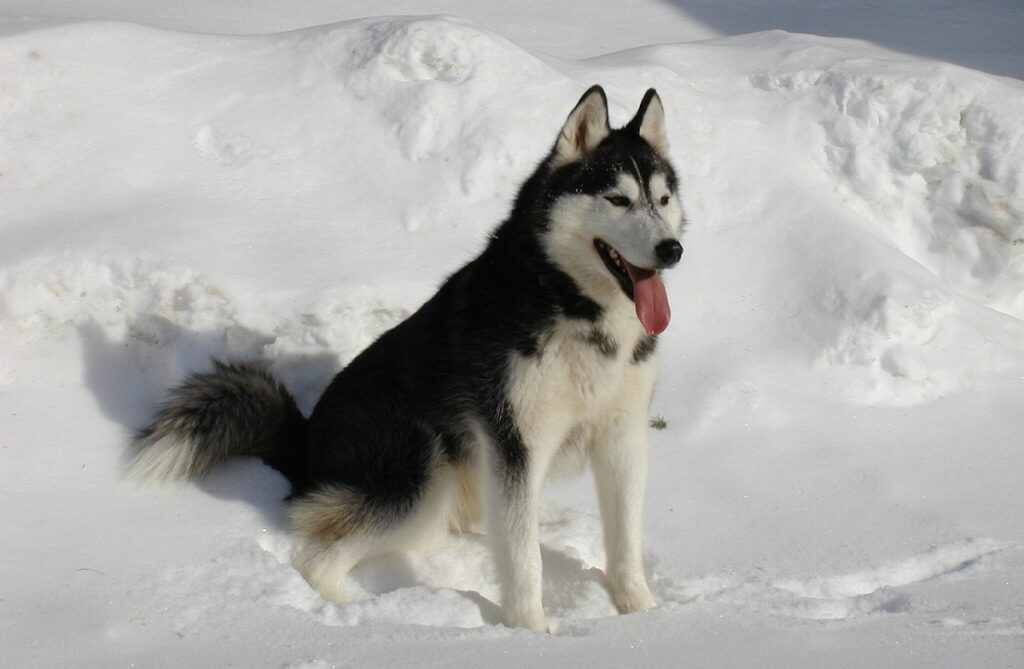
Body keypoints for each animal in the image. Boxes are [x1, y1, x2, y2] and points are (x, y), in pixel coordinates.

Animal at [130, 86, 688, 626]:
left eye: (663, 199)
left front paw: (644, 616)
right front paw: (531, 633)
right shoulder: (514, 447)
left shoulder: (622, 438)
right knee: (317, 561)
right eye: (617, 199)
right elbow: (524, 562)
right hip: (420, 471)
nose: (672, 249)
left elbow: (625, 544)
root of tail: (304, 438)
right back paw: (370, 619)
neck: (574, 307)